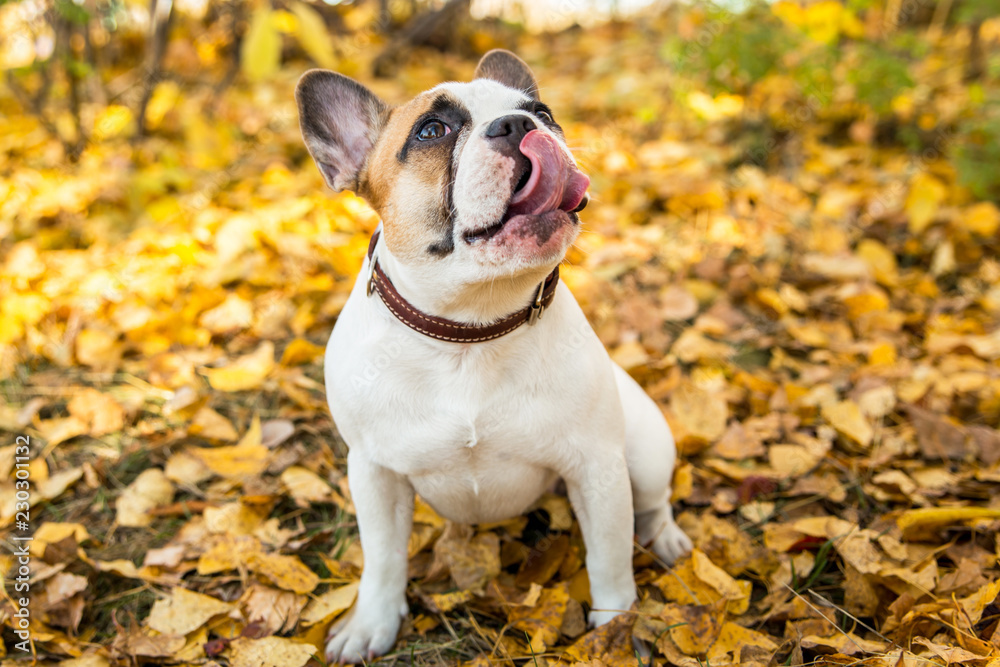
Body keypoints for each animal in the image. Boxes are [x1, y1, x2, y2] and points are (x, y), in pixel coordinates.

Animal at [292, 51, 692, 664]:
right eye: (432, 131)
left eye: (544, 113)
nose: (518, 125)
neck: (471, 329)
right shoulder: (374, 473)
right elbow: (382, 558)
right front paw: (371, 623)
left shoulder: (598, 468)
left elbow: (609, 562)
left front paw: (616, 631)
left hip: (643, 448)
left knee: (654, 499)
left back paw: (666, 537)